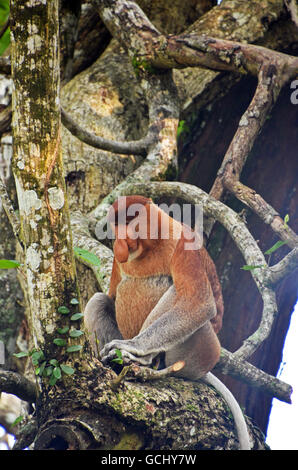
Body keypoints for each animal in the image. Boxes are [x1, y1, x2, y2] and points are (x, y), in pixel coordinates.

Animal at [84, 195, 251, 448]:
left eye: (130, 222)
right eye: (117, 225)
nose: (120, 241)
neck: (152, 244)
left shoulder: (185, 243)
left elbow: (199, 303)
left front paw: (132, 347)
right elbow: (111, 296)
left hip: (201, 350)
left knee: (174, 288)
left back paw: (142, 360)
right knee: (98, 300)